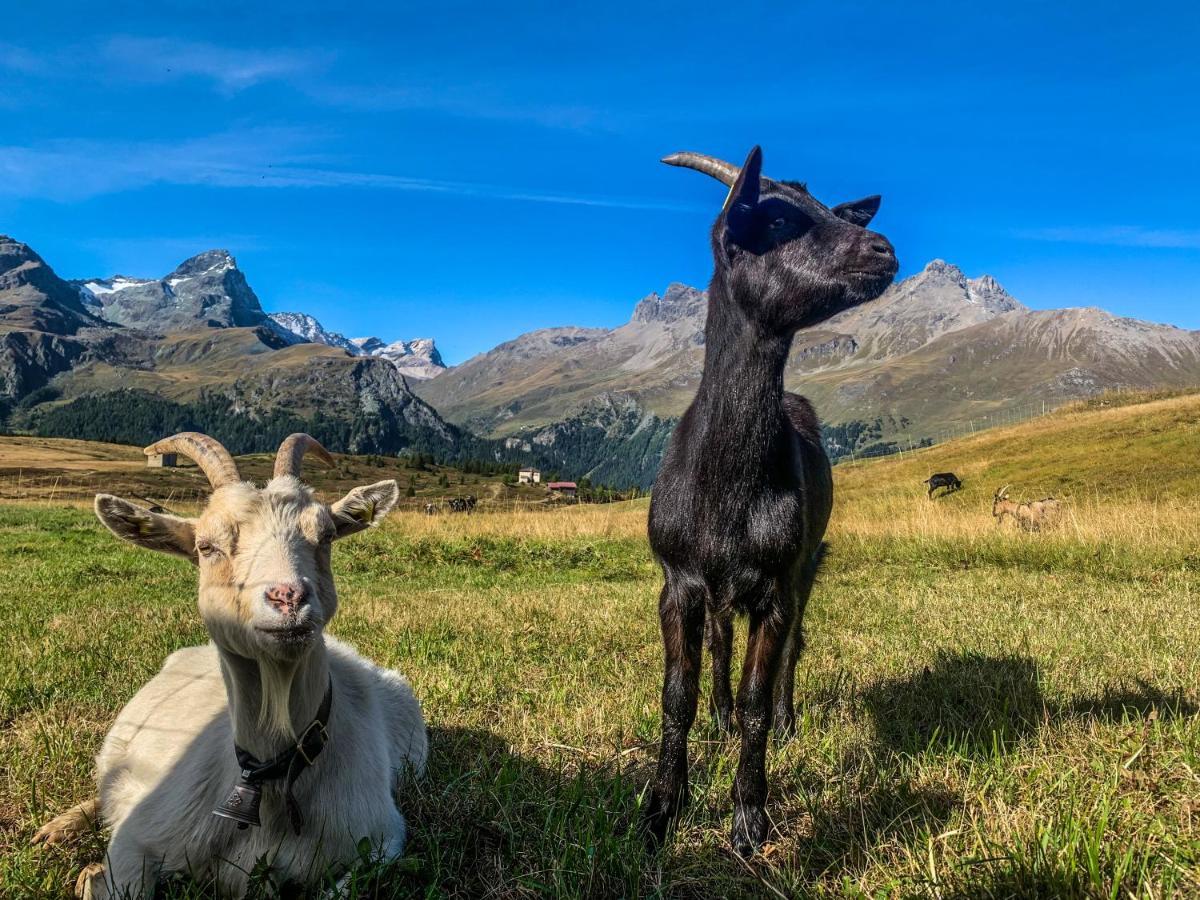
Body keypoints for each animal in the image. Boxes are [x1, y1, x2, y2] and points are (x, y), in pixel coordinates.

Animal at [32, 434, 429, 897]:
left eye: (326, 535)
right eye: (207, 546)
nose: (288, 598)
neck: (270, 780)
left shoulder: (383, 840)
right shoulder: (138, 839)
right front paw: (89, 872)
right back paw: (58, 828)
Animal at [648, 144, 892, 854]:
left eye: (829, 207)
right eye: (778, 219)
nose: (883, 249)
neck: (726, 482)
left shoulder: (776, 583)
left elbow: (761, 687)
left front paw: (750, 816)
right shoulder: (678, 579)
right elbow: (678, 693)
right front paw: (662, 808)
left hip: (804, 566)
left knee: (792, 648)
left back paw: (784, 720)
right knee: (722, 642)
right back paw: (720, 715)